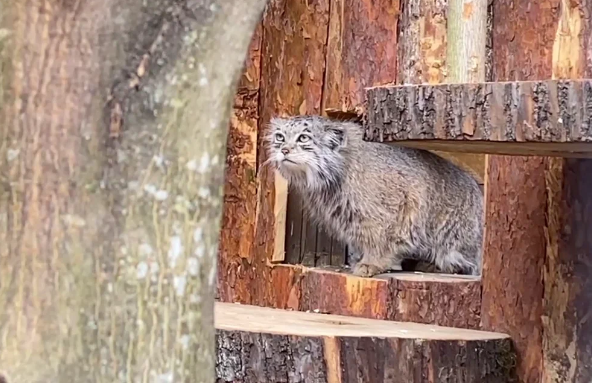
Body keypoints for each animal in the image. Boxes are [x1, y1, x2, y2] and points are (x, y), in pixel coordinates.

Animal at [266, 115, 484, 278]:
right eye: (280, 137)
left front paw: (372, 262)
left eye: (303, 138)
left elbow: (379, 237)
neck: (337, 171)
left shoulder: (398, 204)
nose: (284, 150)